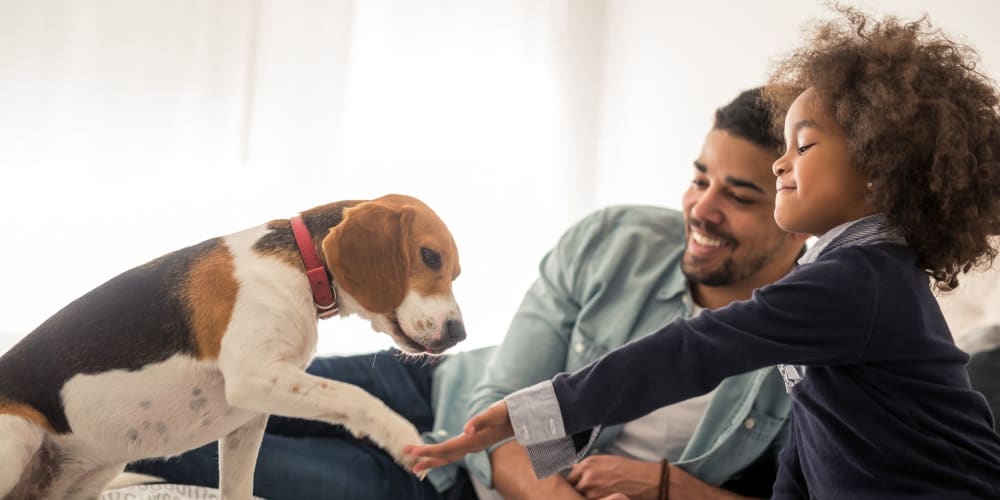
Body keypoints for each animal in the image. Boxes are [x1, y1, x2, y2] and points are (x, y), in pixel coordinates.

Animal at [0, 193, 464, 498]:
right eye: (429, 256)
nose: (460, 333)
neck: (303, 266)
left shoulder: (249, 418)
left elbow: (239, 488)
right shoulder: (253, 377)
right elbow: (356, 395)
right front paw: (402, 436)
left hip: (97, 470)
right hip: (18, 433)